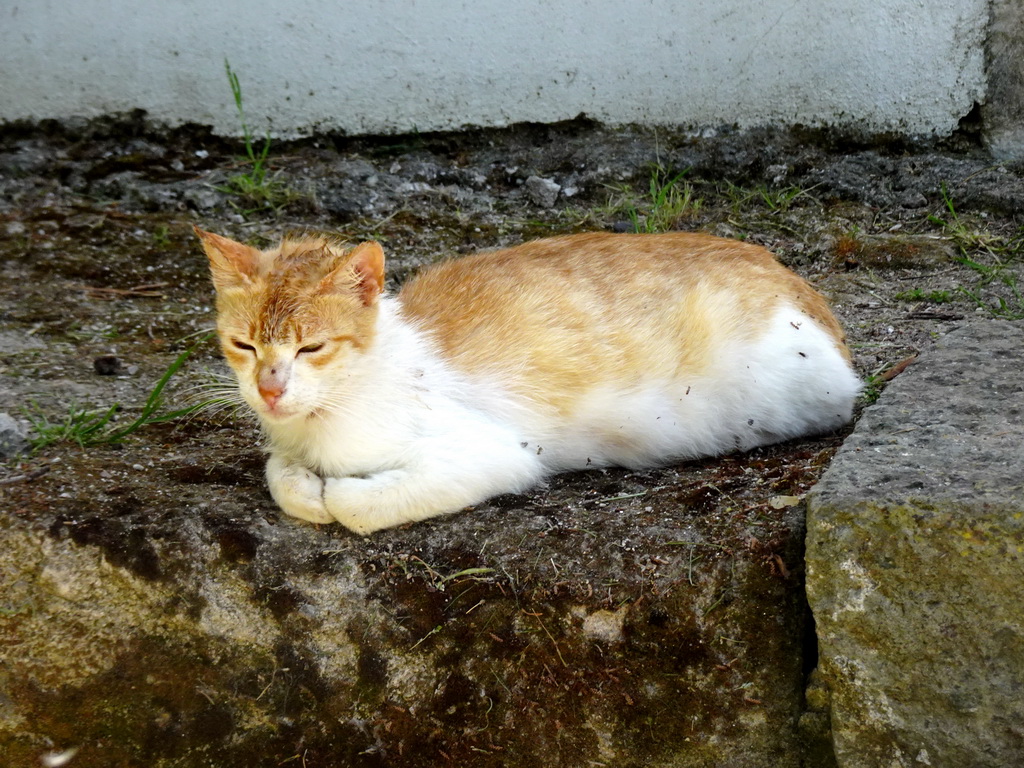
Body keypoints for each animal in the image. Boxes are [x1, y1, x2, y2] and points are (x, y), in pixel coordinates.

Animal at [195, 228, 860, 536]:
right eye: (244, 345)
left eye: (312, 348)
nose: (270, 389)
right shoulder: (285, 443)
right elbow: (280, 473)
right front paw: (303, 485)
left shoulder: (494, 454)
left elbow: (352, 504)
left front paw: (336, 493)